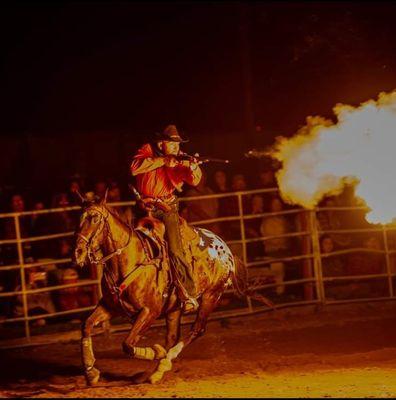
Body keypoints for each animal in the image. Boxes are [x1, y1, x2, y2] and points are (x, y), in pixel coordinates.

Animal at [73, 195, 272, 386]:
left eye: (95, 218)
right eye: (79, 218)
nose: (78, 253)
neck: (130, 260)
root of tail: (226, 249)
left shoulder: (149, 311)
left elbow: (127, 345)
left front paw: (157, 353)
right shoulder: (109, 306)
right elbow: (87, 326)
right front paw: (90, 372)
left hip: (212, 295)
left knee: (197, 329)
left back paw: (163, 363)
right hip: (175, 307)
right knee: (172, 336)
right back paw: (151, 373)